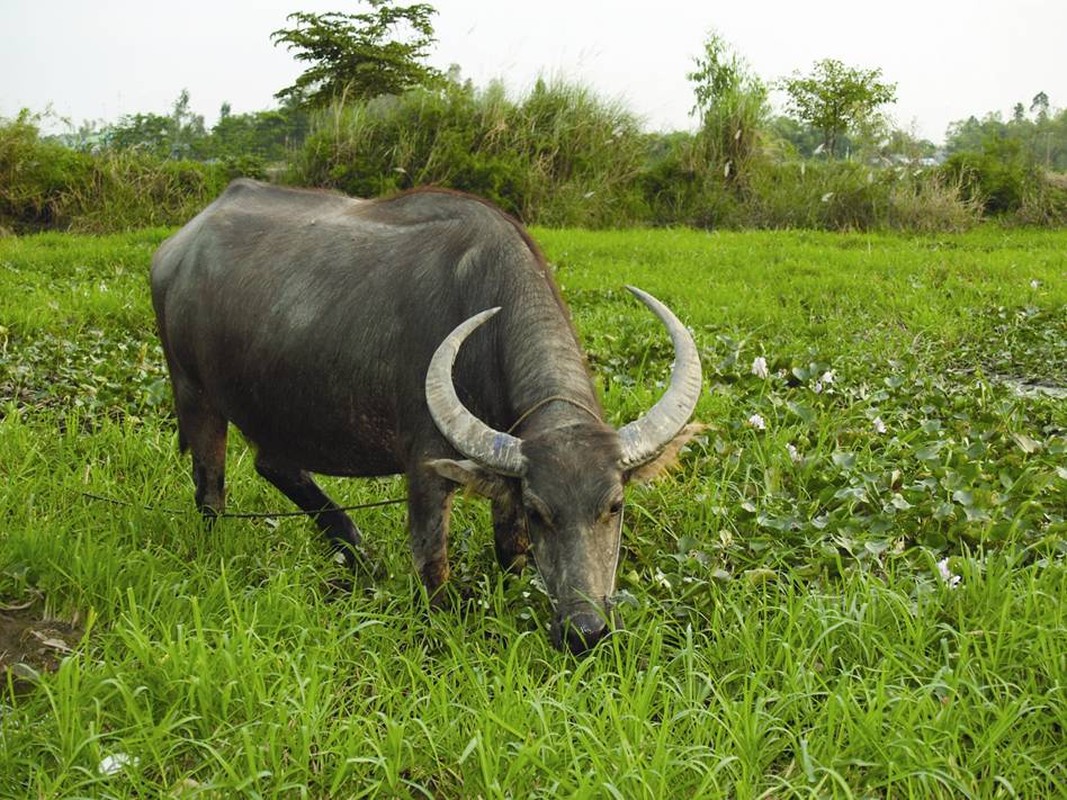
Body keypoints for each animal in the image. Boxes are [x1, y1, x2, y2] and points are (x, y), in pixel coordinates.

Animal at [150, 181, 699, 657]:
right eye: (541, 510)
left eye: (615, 506)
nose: (586, 631)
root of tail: (175, 249)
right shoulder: (426, 467)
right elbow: (432, 563)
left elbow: (511, 551)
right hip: (194, 395)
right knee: (211, 489)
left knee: (274, 466)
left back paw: (359, 554)